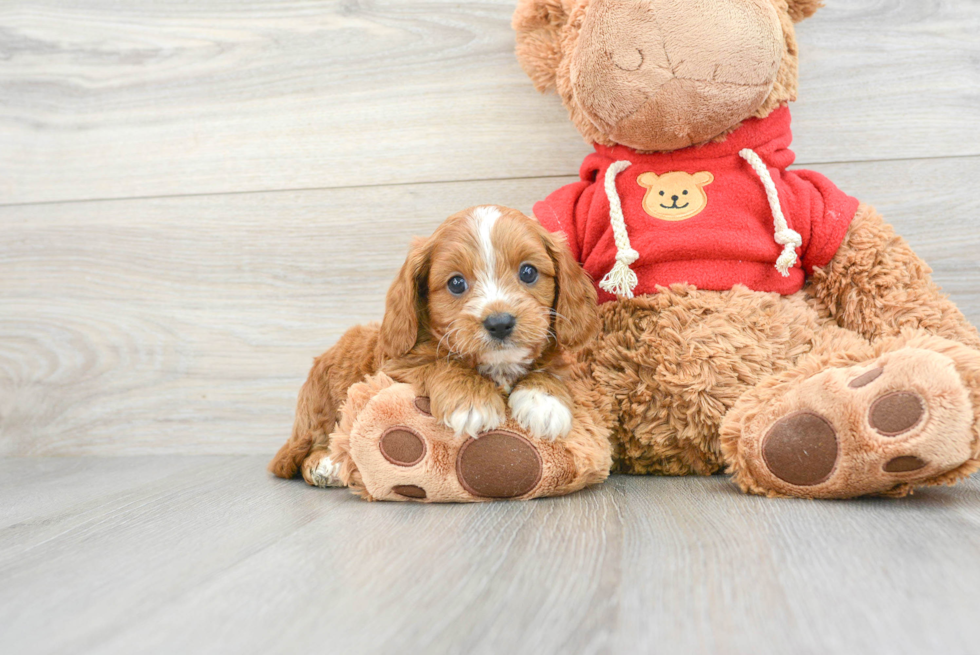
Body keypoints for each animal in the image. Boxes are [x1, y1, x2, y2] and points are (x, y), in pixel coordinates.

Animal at [264, 205, 596, 486]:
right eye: (456, 283)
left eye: (528, 272)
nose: (500, 323)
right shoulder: (395, 367)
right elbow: (438, 362)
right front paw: (471, 400)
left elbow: (549, 368)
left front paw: (544, 401)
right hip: (319, 412)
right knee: (304, 450)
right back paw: (325, 465)